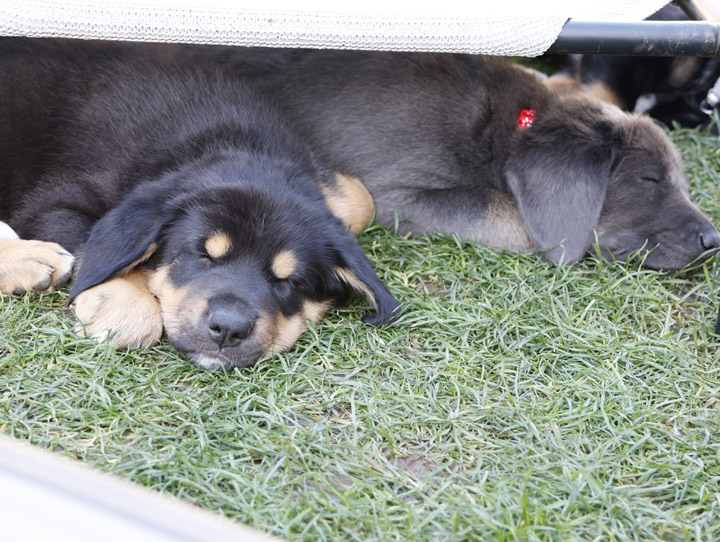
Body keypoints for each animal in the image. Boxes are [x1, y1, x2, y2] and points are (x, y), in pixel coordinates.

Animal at [0, 37, 400, 370]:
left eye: (290, 281)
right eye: (202, 254)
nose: (228, 329)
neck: (234, 142)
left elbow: (361, 199)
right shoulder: (57, 199)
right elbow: (99, 245)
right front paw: (123, 304)